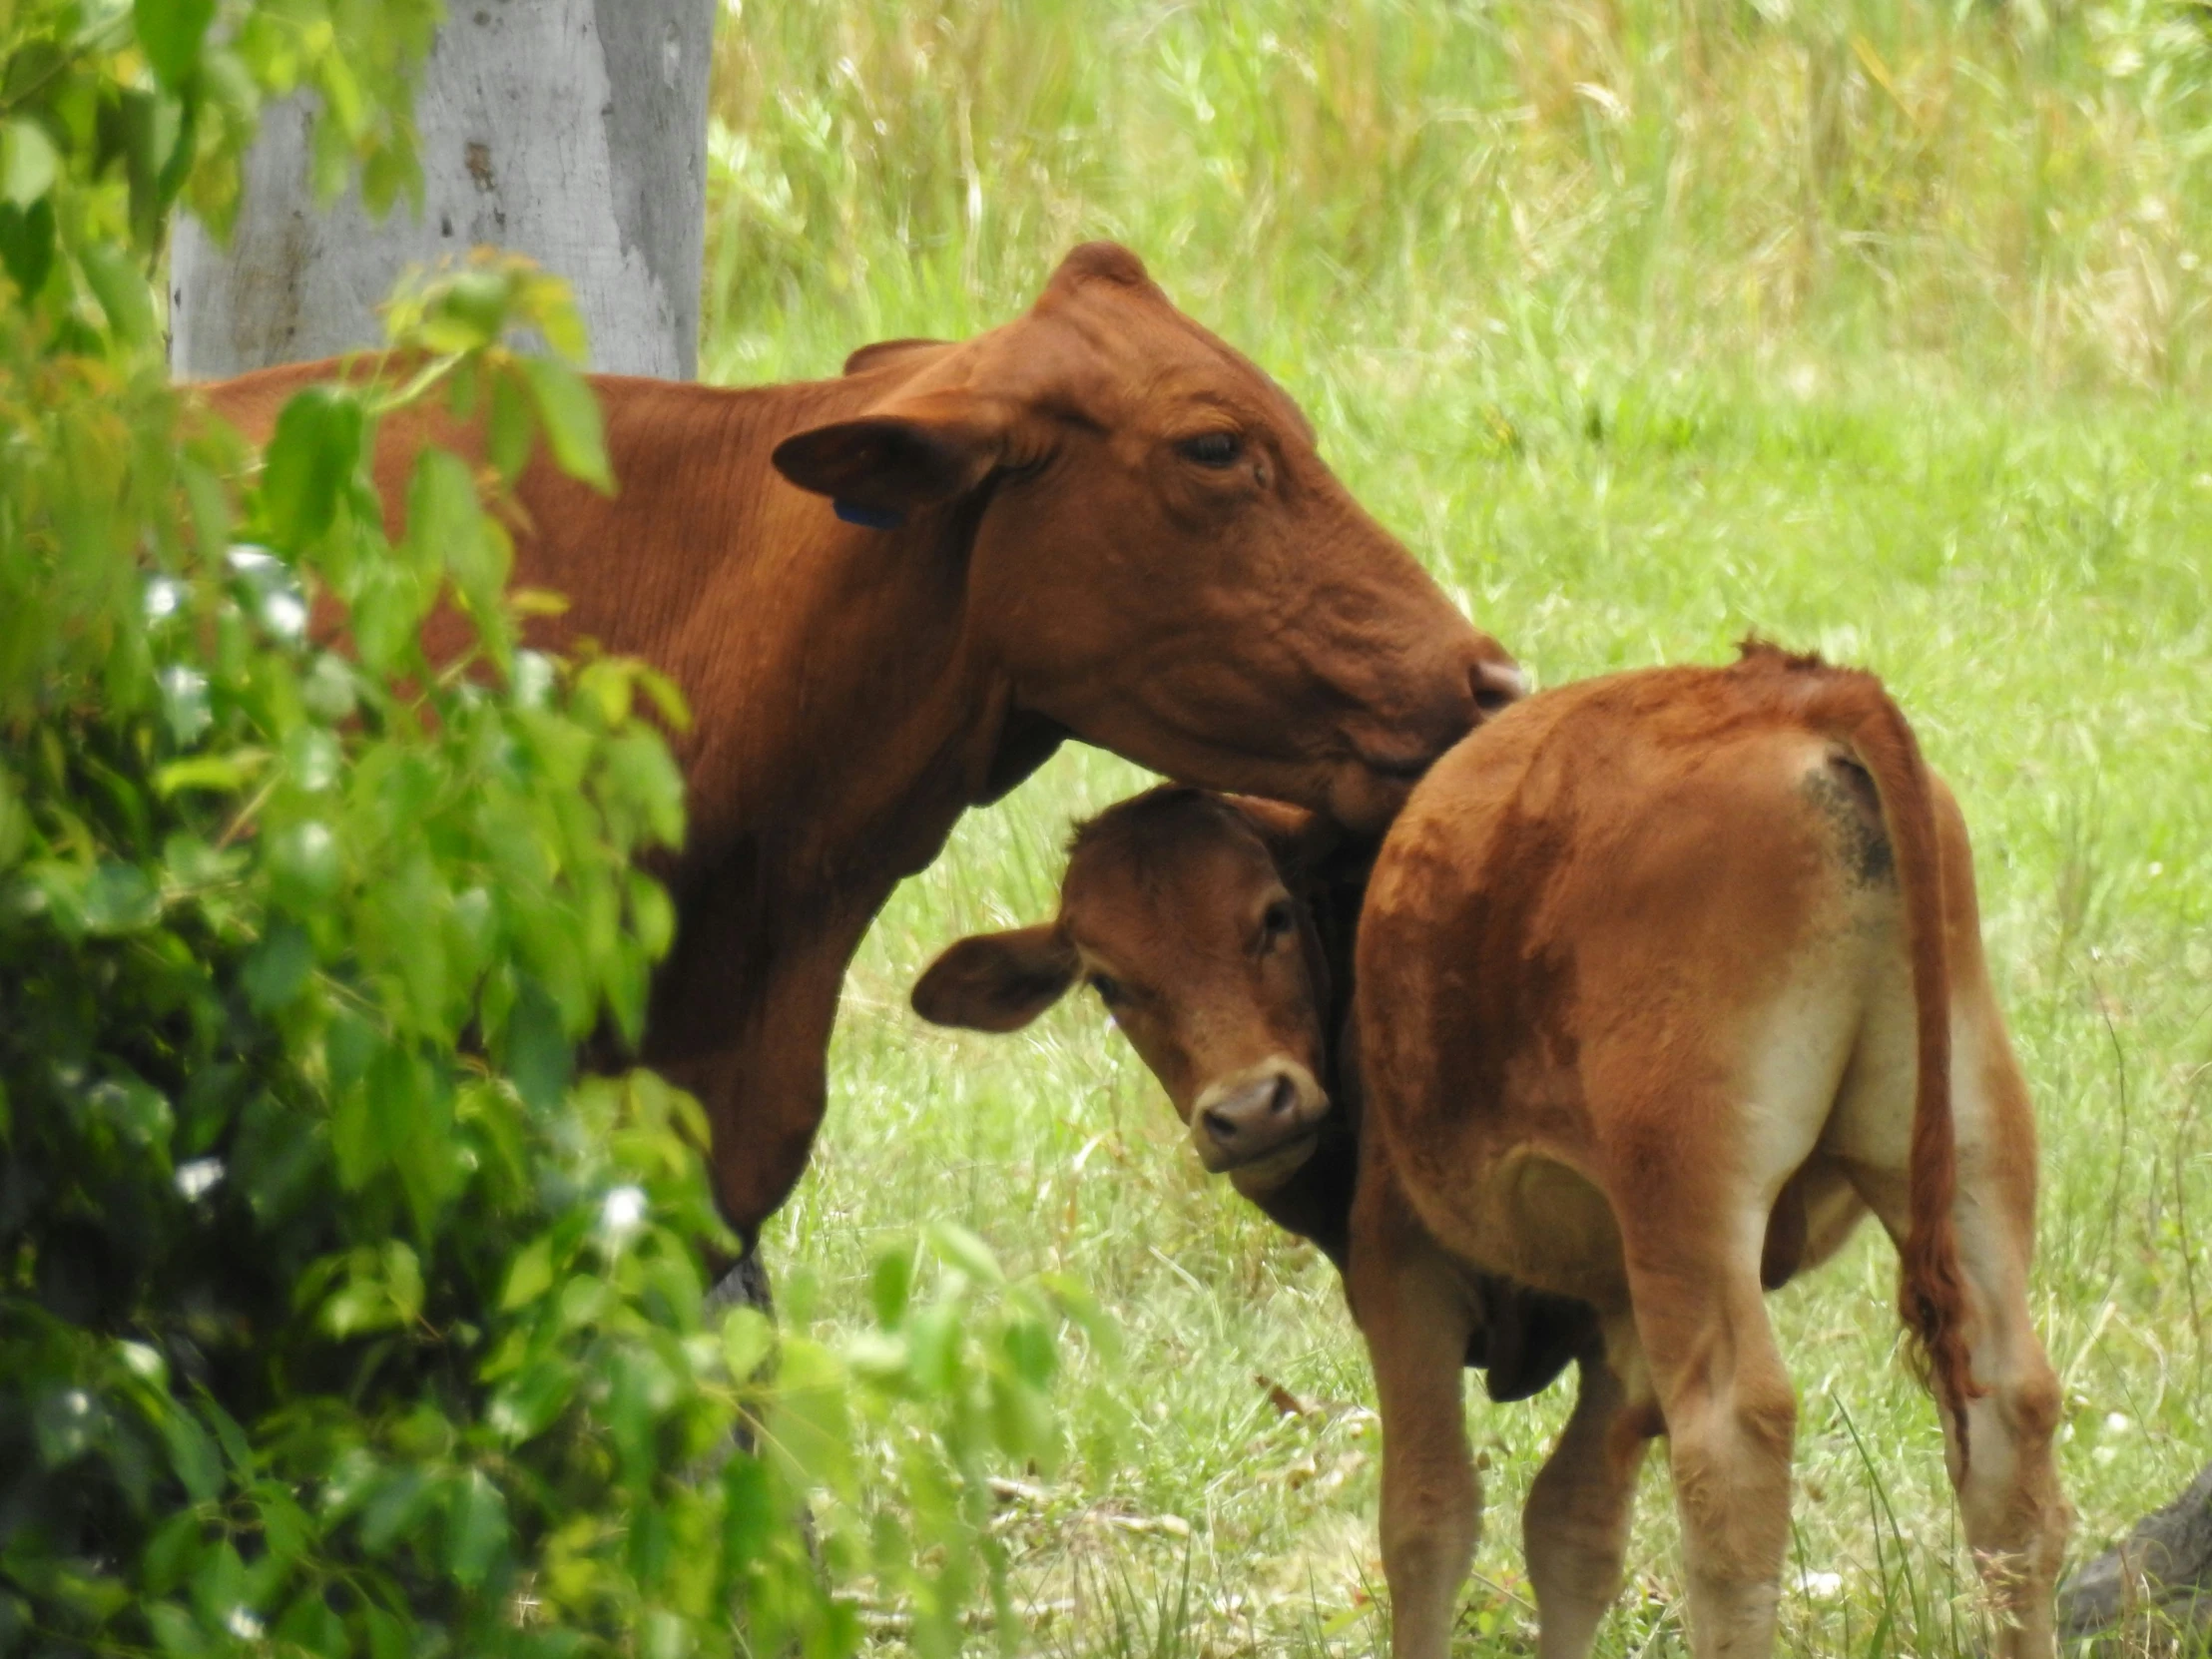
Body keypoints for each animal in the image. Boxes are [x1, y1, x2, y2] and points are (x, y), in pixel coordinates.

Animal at [915, 654, 2070, 1659]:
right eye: (1109, 982)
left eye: (1271, 918)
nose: (1249, 1110)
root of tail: (1798, 696)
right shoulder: (1614, 1309)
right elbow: (1572, 1531)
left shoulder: (1406, 1272)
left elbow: (1428, 1523)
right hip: (1966, 1155)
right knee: (2009, 1431)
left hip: (1687, 1208)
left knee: (1733, 1449)